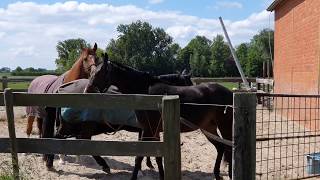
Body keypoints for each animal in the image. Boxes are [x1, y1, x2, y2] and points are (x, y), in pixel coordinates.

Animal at [86, 58, 234, 179]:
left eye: (99, 73)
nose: (87, 91)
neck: (145, 93)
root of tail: (230, 93)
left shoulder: (148, 130)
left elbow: (140, 157)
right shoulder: (152, 130)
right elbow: (157, 156)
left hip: (224, 127)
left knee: (229, 147)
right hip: (208, 127)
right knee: (221, 148)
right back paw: (217, 174)